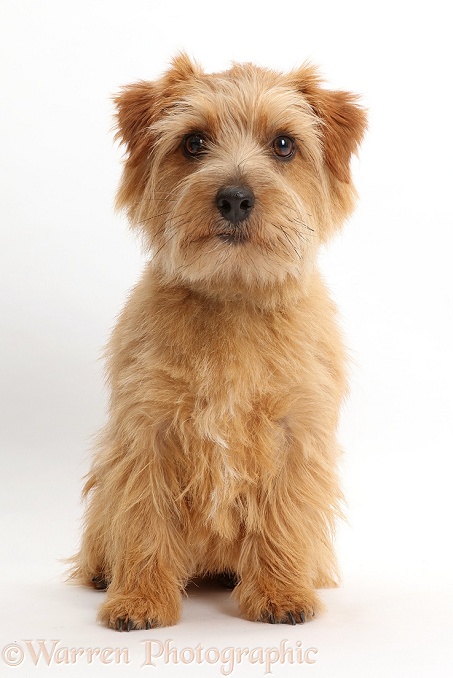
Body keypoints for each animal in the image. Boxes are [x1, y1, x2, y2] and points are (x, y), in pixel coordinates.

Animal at [71, 53, 368, 632]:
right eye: (193, 142)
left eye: (284, 144)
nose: (234, 197)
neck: (232, 296)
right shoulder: (147, 432)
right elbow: (143, 518)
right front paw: (140, 600)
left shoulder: (295, 432)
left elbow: (283, 514)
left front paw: (280, 593)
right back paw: (102, 572)